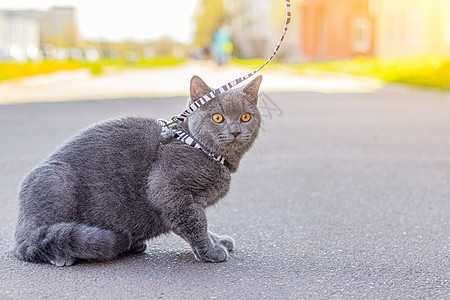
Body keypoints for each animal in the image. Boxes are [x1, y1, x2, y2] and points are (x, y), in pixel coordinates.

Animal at [14, 74, 262, 266]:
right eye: (217, 117)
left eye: (245, 117)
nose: (235, 131)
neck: (199, 147)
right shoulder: (167, 188)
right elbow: (195, 223)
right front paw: (210, 251)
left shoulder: (188, 201)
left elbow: (197, 222)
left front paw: (217, 240)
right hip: (58, 179)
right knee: (33, 243)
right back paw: (63, 255)